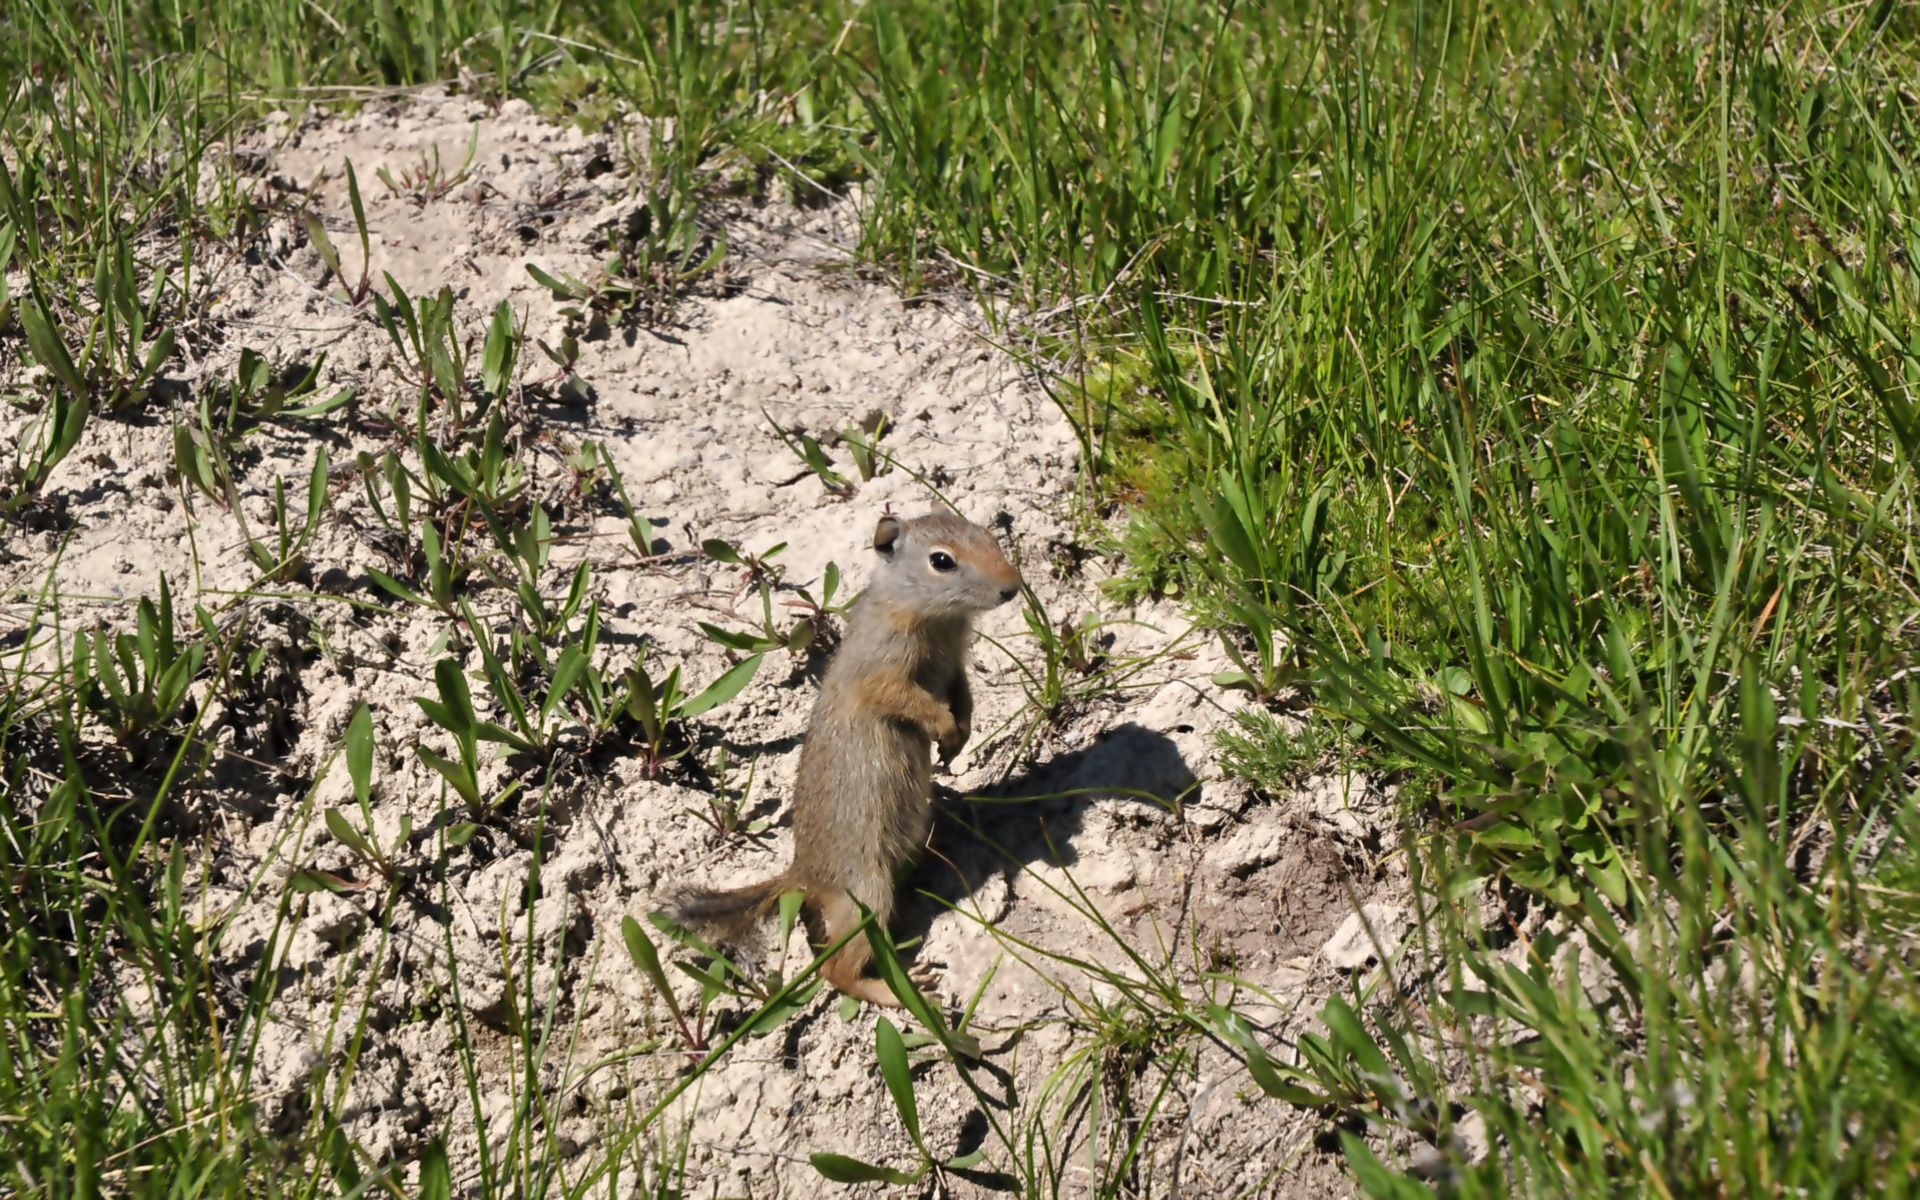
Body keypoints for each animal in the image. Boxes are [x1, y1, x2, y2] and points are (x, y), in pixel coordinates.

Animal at [672, 510, 1021, 1006]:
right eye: (942, 561)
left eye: (988, 535)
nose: (1012, 586)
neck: (933, 617)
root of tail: (802, 877)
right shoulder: (881, 671)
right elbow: (909, 700)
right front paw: (946, 728)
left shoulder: (955, 662)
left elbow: (963, 692)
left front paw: (960, 737)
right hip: (866, 896)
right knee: (835, 971)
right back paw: (897, 990)